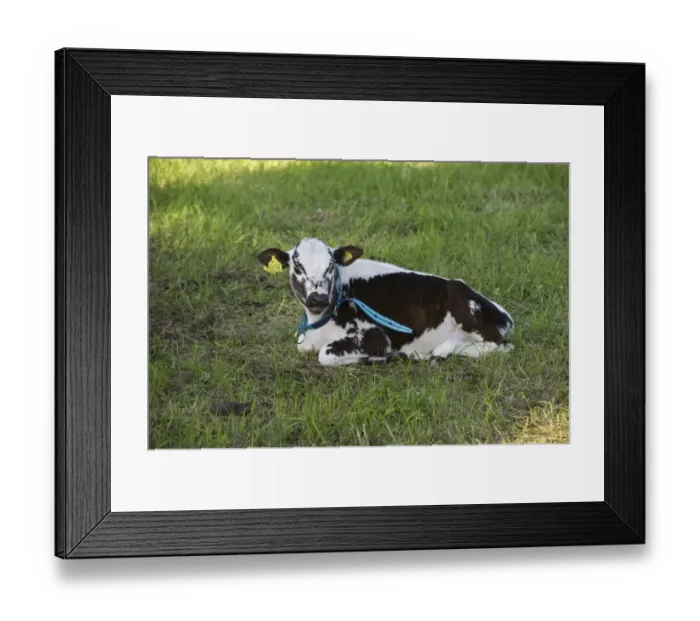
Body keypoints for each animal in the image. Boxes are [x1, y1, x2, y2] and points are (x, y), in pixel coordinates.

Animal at [256, 237, 514, 367]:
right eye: (298, 267)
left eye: (330, 266)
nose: (318, 297)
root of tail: (505, 315)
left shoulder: (376, 336)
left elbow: (325, 355)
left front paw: (386, 357)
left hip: (467, 309)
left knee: (500, 347)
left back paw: (438, 351)